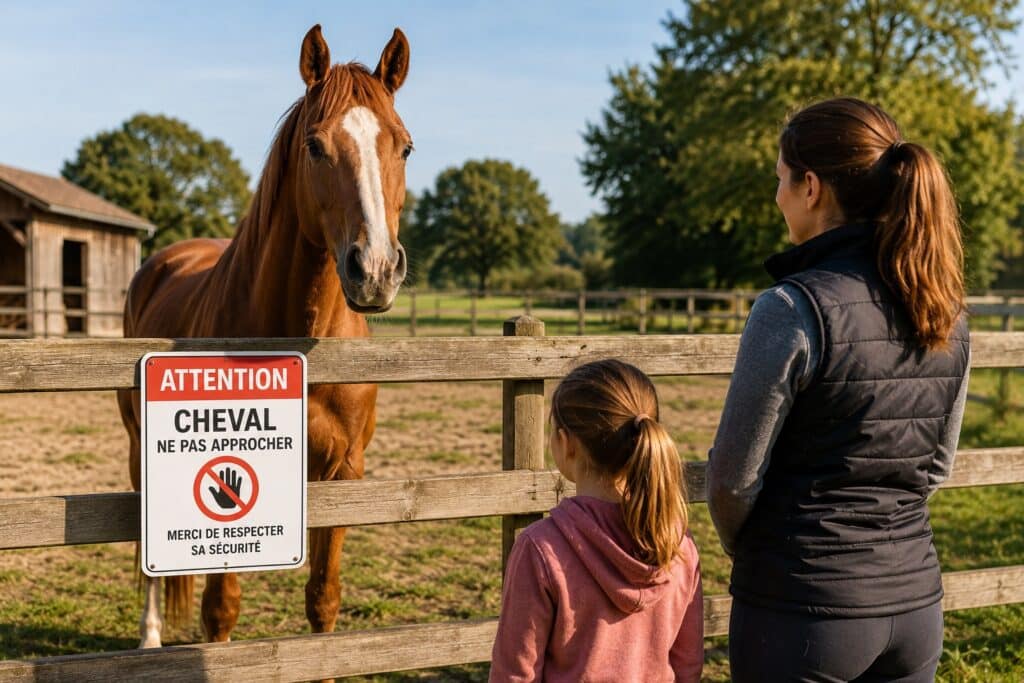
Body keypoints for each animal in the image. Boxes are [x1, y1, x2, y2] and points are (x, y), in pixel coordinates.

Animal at [116, 24, 412, 648]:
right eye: (315, 146)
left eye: (404, 147)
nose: (375, 269)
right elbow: (221, 609)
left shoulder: (344, 473)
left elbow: (323, 598)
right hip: (138, 445)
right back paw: (149, 639)